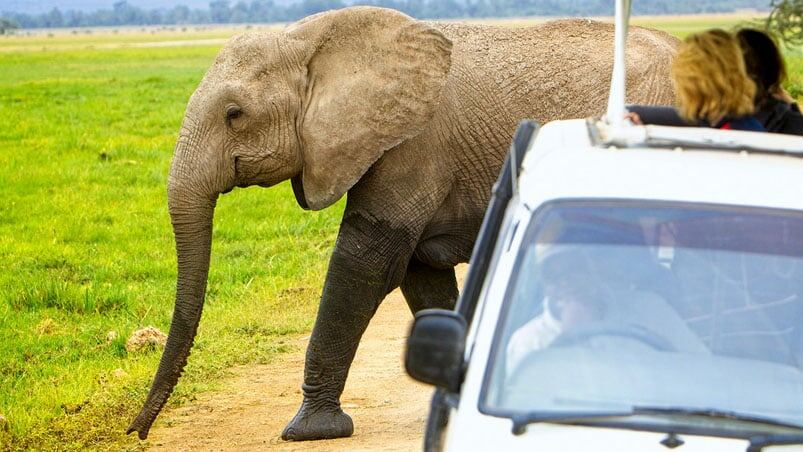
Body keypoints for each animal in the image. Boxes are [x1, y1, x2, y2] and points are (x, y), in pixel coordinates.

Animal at [127, 5, 680, 444]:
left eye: (234, 114)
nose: (137, 431)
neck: (309, 41)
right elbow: (420, 276)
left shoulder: (412, 145)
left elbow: (368, 262)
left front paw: (309, 430)